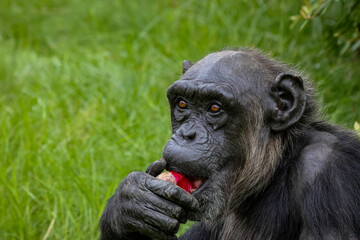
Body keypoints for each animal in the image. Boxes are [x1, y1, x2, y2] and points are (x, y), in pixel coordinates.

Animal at [98, 49, 360, 240]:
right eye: (182, 104)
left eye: (215, 107)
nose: (187, 134)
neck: (275, 169)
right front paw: (130, 204)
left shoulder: (330, 177)